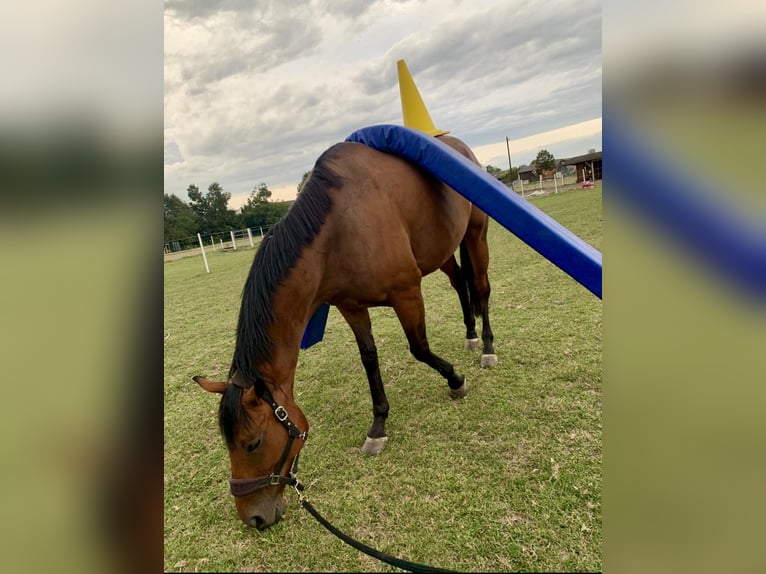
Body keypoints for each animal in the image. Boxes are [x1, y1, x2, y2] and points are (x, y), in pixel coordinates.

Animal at [194, 135, 498, 532]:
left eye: (253, 443)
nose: (253, 518)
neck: (338, 230)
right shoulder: (351, 306)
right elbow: (369, 358)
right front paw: (378, 425)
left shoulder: (406, 293)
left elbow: (419, 347)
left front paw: (455, 381)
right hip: (442, 250)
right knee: (460, 282)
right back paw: (471, 334)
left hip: (477, 235)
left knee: (481, 288)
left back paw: (487, 346)